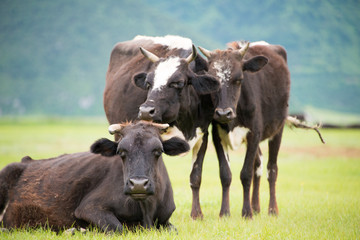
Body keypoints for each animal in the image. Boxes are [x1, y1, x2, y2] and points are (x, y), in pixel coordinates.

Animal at [0, 122, 190, 232]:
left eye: (158, 151)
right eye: (121, 151)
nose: (137, 184)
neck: (146, 212)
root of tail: (26, 160)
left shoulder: (165, 218)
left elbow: (173, 229)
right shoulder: (89, 207)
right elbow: (118, 228)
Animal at [103, 35, 219, 219]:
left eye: (178, 82)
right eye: (148, 83)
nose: (145, 110)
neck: (186, 123)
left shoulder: (203, 135)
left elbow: (196, 177)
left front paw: (197, 214)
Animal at [198, 40, 292, 218]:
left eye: (239, 79)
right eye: (213, 81)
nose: (223, 113)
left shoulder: (254, 133)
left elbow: (246, 173)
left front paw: (246, 213)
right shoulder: (217, 135)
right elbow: (225, 174)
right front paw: (225, 212)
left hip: (278, 129)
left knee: (271, 168)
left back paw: (272, 209)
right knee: (258, 164)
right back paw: (256, 206)